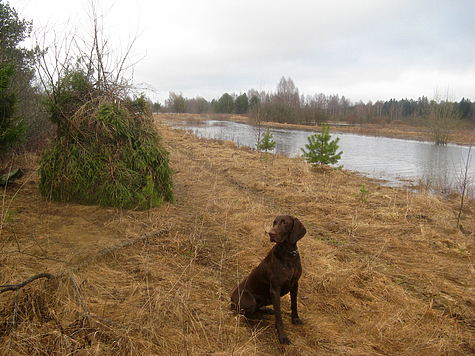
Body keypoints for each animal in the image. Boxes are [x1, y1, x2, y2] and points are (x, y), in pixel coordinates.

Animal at [231, 216, 308, 344]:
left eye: (284, 222)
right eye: (274, 222)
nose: (270, 233)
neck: (289, 254)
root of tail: (230, 299)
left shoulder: (295, 284)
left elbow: (294, 304)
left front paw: (295, 319)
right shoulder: (275, 290)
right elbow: (279, 318)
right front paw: (282, 336)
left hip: (267, 300)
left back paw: (267, 310)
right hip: (250, 301)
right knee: (243, 313)